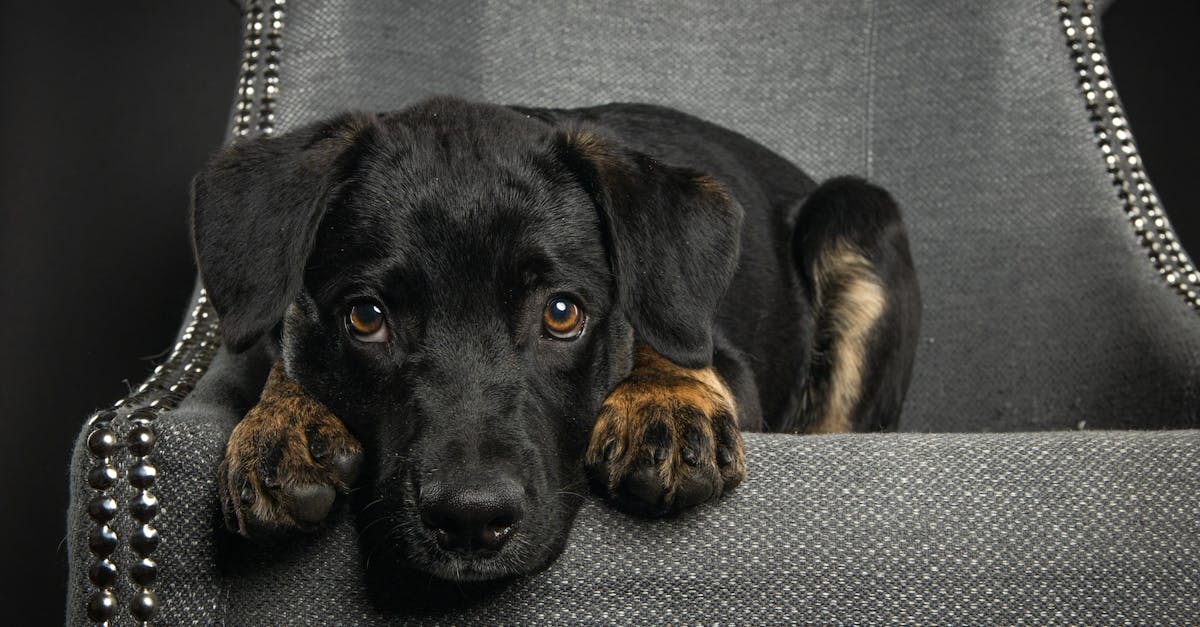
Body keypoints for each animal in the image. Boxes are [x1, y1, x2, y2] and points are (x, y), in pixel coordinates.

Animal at [194, 94, 916, 583]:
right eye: (366, 317)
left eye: (563, 313)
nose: (470, 520)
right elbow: (289, 346)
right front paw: (281, 423)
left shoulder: (732, 363)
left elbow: (659, 335)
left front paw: (665, 400)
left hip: (858, 215)